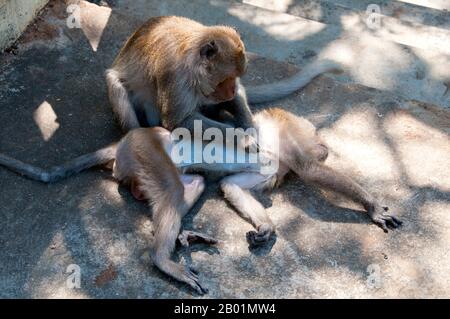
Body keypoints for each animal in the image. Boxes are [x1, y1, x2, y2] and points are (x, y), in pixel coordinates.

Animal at [0, 107, 402, 296]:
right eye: (320, 140)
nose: (325, 146)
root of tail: (124, 143)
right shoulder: (289, 141)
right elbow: (311, 171)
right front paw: (372, 206)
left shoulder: (274, 164)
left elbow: (231, 187)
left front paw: (265, 228)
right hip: (147, 148)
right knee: (173, 190)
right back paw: (163, 259)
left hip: (142, 163)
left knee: (191, 186)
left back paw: (183, 237)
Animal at [107, 15, 340, 148]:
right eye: (225, 79)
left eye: (235, 78)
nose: (230, 89)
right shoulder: (175, 74)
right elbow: (178, 122)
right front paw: (243, 138)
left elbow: (236, 99)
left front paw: (250, 129)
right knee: (116, 84)